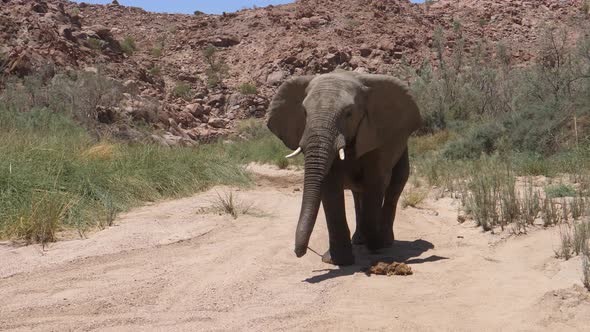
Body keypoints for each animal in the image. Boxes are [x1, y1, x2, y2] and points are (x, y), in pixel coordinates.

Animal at [268, 70, 426, 264]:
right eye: (304, 112)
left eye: (349, 113)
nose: (300, 252)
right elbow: (330, 186)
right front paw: (337, 260)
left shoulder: (377, 136)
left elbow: (375, 182)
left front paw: (375, 247)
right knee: (358, 194)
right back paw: (359, 240)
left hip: (402, 148)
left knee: (394, 186)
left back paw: (384, 242)